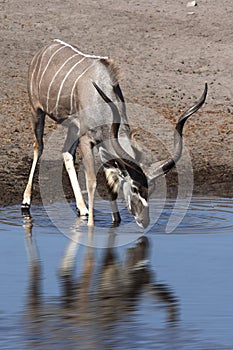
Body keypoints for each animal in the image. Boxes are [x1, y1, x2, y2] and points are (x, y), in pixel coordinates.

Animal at [21, 39, 208, 227]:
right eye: (135, 188)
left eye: (152, 189)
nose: (144, 221)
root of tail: (45, 49)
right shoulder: (86, 139)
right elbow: (92, 181)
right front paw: (91, 225)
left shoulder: (102, 145)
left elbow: (111, 187)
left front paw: (114, 221)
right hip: (36, 110)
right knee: (39, 146)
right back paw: (26, 202)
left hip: (72, 129)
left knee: (66, 153)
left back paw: (83, 209)